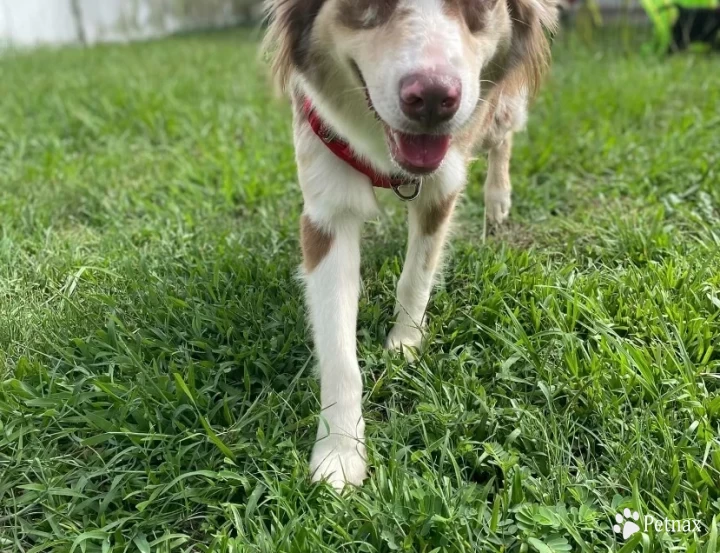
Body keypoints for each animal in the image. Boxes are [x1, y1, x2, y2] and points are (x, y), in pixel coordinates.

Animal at [262, 0, 556, 488]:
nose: (434, 99)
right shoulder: (326, 206)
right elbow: (338, 349)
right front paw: (340, 452)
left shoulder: (443, 182)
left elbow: (416, 276)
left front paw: (404, 343)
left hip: (498, 113)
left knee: (503, 136)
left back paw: (498, 199)